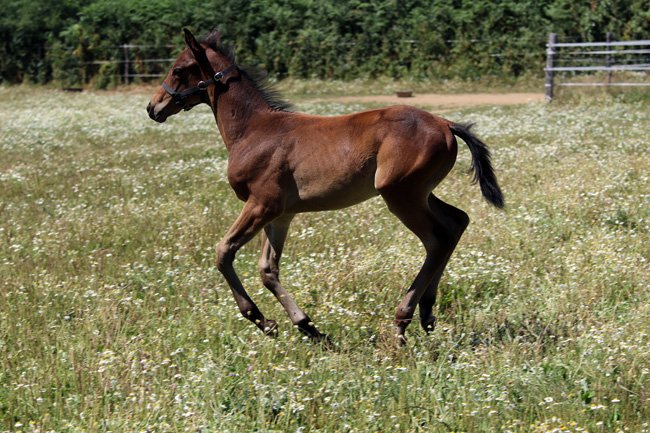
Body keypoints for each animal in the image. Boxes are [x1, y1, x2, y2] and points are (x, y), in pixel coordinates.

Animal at [147, 29, 504, 345]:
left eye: (178, 69)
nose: (153, 107)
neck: (254, 129)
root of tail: (446, 123)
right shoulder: (280, 215)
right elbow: (268, 269)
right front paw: (308, 327)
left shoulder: (262, 204)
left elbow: (224, 252)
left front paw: (261, 320)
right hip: (420, 193)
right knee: (456, 221)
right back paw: (427, 313)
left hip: (401, 194)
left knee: (437, 238)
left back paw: (403, 320)